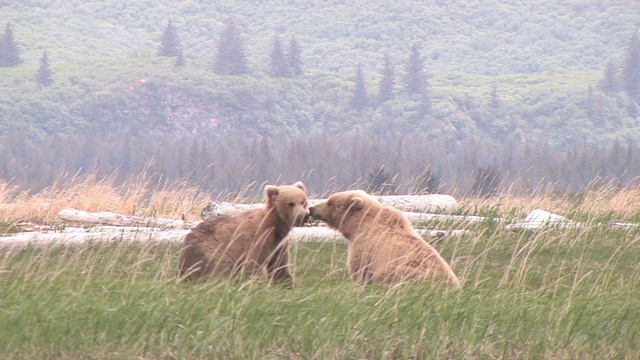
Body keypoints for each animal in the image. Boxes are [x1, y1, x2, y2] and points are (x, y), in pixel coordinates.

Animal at [180, 181, 310, 286]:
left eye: (303, 201)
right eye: (290, 203)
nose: (303, 216)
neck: (276, 225)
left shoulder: (279, 243)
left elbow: (280, 267)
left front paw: (290, 283)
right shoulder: (260, 236)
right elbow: (253, 264)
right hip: (211, 250)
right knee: (219, 267)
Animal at [308, 190, 460, 288]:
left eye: (330, 202)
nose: (311, 208)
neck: (358, 225)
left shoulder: (364, 245)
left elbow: (359, 268)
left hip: (409, 271)